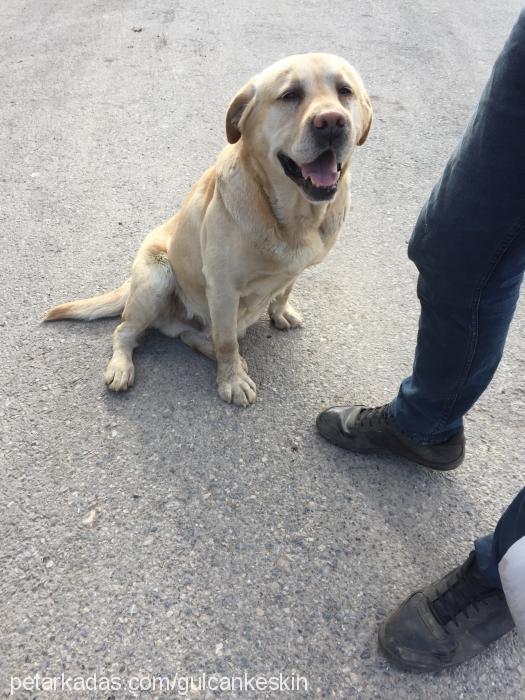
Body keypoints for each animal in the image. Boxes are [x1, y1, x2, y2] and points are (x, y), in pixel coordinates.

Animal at [46, 53, 372, 404]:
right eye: (290, 95)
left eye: (345, 91)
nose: (332, 121)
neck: (294, 216)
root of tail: (129, 284)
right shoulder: (223, 288)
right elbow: (227, 341)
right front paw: (232, 380)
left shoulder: (295, 270)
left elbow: (284, 290)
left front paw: (281, 311)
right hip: (156, 278)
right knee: (127, 332)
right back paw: (123, 367)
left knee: (193, 336)